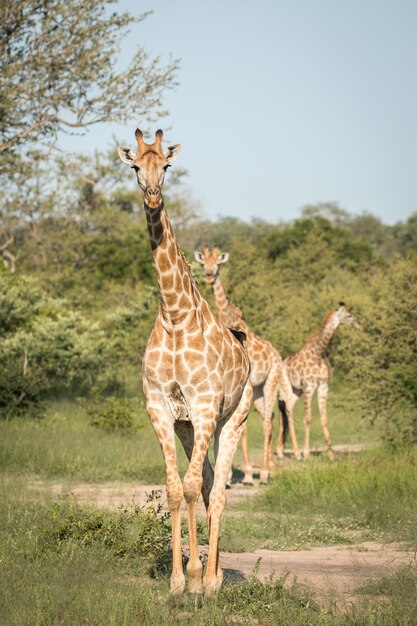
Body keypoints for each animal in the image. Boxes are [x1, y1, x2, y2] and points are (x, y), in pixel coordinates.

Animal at [118, 129, 254, 596]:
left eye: (168, 165)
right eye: (135, 166)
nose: (153, 197)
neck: (175, 315)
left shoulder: (205, 407)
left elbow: (193, 487)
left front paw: (195, 578)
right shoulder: (162, 410)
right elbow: (176, 489)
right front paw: (178, 582)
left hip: (232, 419)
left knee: (219, 490)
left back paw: (212, 581)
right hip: (190, 428)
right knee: (211, 484)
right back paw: (212, 574)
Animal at [193, 246, 300, 480]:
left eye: (218, 263)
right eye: (203, 263)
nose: (209, 275)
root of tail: (278, 355)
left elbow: (241, 429)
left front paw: (247, 473)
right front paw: (232, 475)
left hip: (270, 382)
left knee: (268, 422)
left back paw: (266, 473)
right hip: (258, 392)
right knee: (268, 417)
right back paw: (269, 468)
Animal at [274, 302, 360, 458]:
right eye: (349, 315)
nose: (358, 325)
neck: (318, 353)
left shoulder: (323, 387)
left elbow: (325, 419)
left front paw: (331, 454)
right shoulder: (309, 386)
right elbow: (308, 419)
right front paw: (307, 452)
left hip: (296, 391)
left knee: (285, 412)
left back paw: (281, 452)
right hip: (287, 388)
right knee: (288, 411)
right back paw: (297, 453)